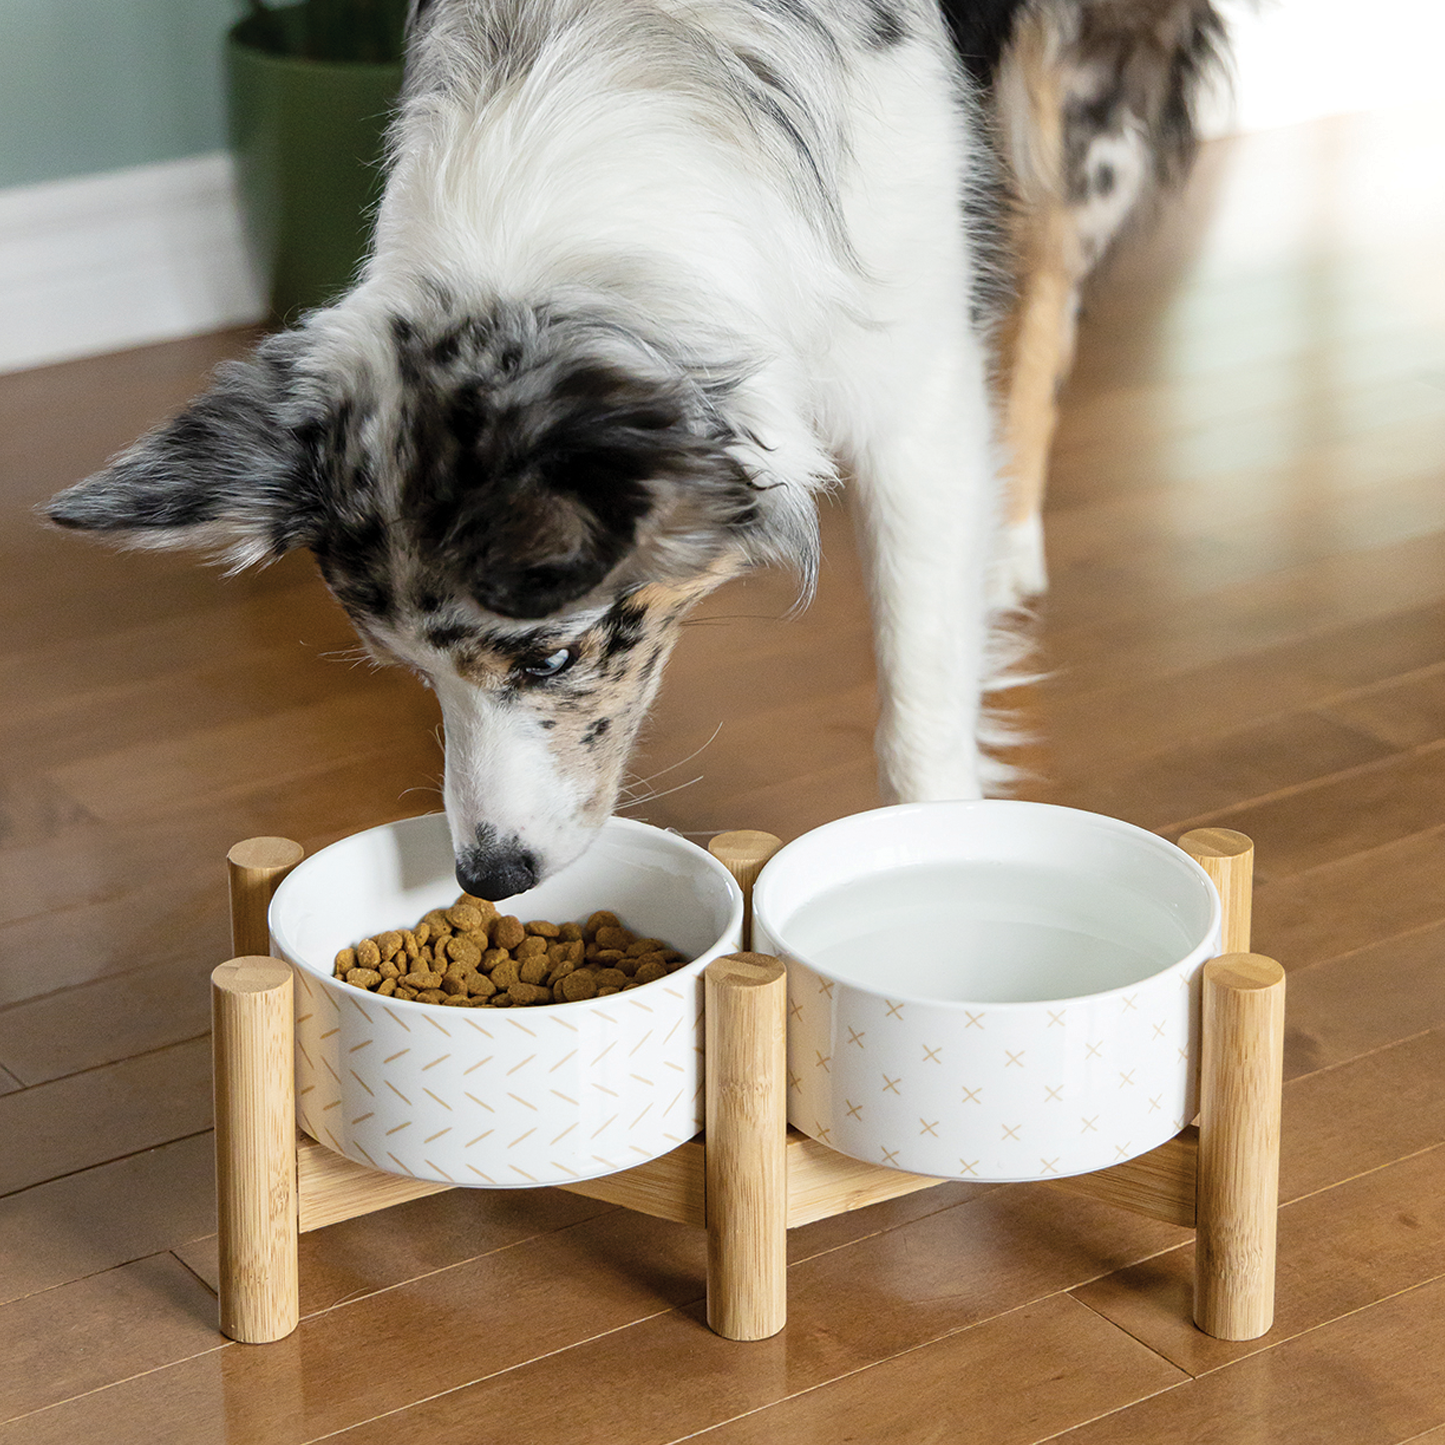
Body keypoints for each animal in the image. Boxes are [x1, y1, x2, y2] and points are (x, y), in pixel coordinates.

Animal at [42, 0, 1219, 895]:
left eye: (553, 657)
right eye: (409, 671)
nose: (490, 877)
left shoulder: (911, 378)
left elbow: (920, 700)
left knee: (1052, 273)